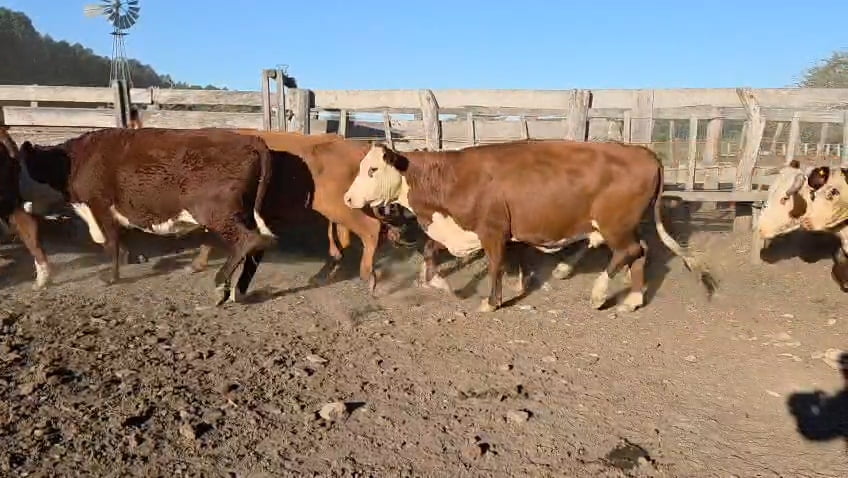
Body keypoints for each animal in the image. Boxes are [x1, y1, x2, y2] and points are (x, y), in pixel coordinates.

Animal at [14, 127, 277, 305]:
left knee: (248, 241)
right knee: (258, 246)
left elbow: (110, 243)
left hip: (217, 213)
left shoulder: (100, 206)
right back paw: (238, 290)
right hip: (242, 213)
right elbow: (119, 241)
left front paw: (111, 277)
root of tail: (249, 138)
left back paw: (220, 285)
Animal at [343, 140, 716, 313]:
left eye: (373, 170)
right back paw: (633, 299)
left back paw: (599, 294)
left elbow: (495, 265)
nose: (347, 198)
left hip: (615, 225)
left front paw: (491, 301)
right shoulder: (467, 229)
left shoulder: (492, 231)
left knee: (629, 251)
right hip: (626, 225)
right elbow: (432, 248)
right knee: (641, 252)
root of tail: (644, 152)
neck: (454, 178)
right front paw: (438, 282)